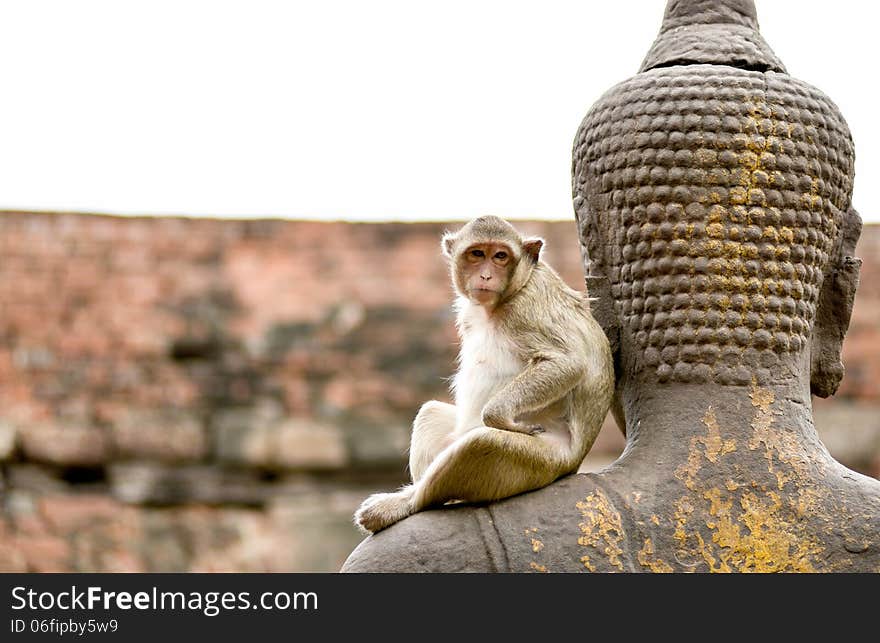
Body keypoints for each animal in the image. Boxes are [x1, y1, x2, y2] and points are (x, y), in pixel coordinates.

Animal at [354, 215, 616, 532]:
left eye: (501, 256)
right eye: (477, 254)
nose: (487, 276)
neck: (507, 295)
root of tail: (573, 463)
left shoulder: (527, 306)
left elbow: (568, 362)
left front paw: (499, 417)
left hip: (543, 462)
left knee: (482, 443)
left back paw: (408, 504)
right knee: (431, 413)